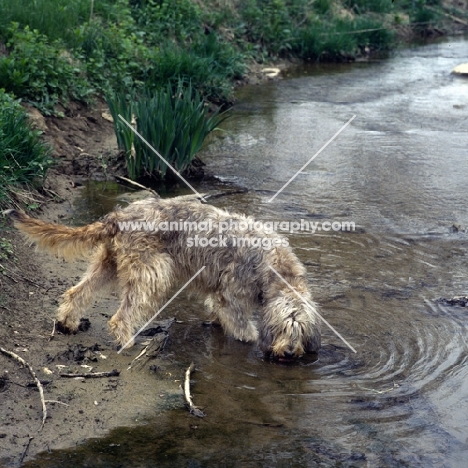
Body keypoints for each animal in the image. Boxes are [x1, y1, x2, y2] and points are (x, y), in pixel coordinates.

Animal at [4, 197, 322, 358]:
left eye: (301, 331)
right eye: (283, 328)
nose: (290, 352)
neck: (275, 268)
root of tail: (118, 216)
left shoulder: (219, 292)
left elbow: (217, 309)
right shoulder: (232, 295)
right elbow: (241, 324)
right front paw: (250, 339)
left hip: (107, 264)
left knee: (76, 292)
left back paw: (67, 321)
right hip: (152, 272)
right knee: (121, 316)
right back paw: (128, 341)